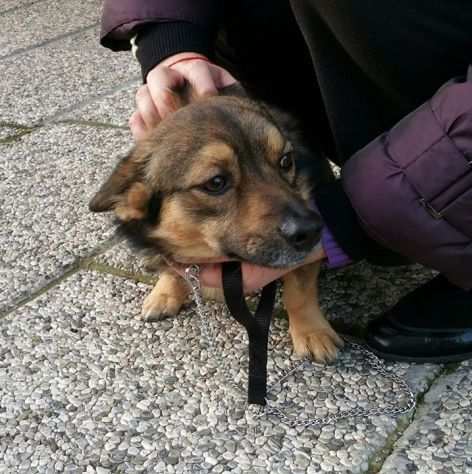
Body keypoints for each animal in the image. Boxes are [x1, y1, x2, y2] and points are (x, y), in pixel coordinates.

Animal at [88, 85, 342, 362]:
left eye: (285, 161)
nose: (312, 231)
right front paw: (165, 293)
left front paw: (311, 332)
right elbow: (172, 269)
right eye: (216, 182)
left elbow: (299, 292)